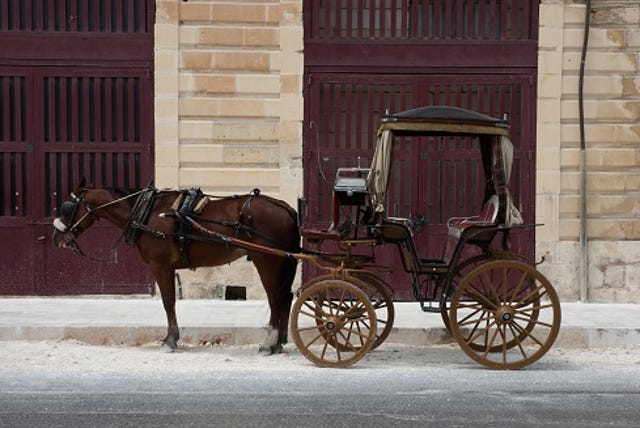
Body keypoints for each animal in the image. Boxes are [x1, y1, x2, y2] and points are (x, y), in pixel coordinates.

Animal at [50, 177, 300, 354]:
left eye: (67, 207)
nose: (55, 236)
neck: (146, 212)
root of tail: (284, 207)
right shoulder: (167, 268)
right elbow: (170, 302)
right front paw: (173, 338)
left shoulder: (160, 266)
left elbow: (168, 301)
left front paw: (170, 340)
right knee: (286, 297)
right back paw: (278, 343)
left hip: (267, 261)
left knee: (275, 299)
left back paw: (268, 343)